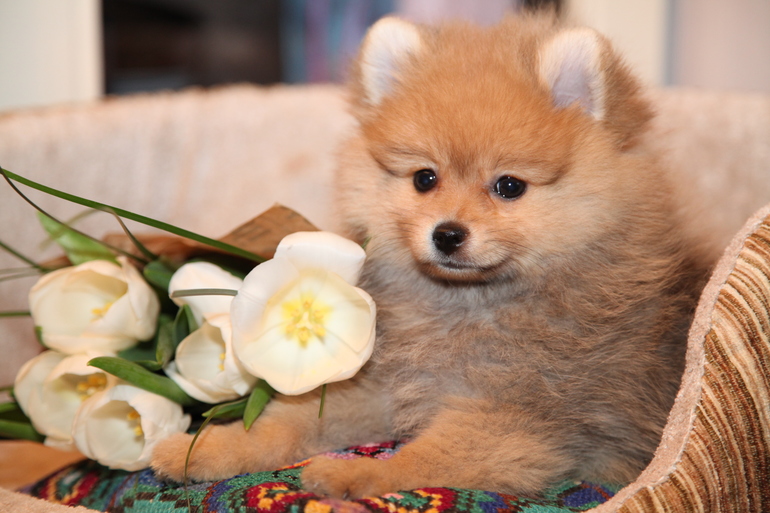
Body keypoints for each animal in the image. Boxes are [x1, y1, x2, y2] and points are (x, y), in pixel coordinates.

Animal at [152, 13, 705, 499]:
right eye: (424, 178)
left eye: (508, 186)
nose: (448, 234)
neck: (466, 309)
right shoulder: (383, 386)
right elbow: (286, 425)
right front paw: (205, 449)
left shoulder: (512, 419)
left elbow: (420, 459)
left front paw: (355, 476)